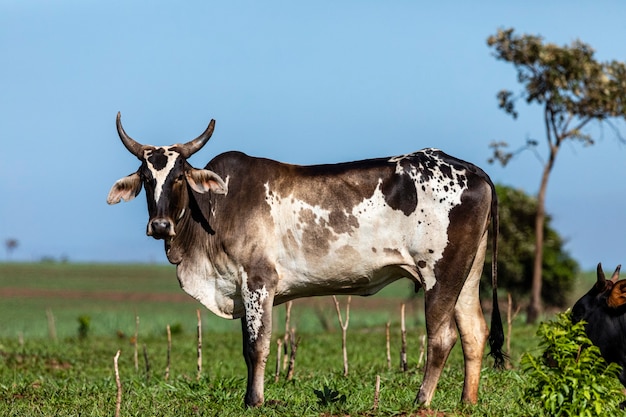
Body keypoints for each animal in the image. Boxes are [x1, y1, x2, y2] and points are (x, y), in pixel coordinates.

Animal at [107, 113, 504, 406]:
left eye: (178, 177)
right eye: (145, 177)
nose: (159, 225)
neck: (212, 212)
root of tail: (474, 172)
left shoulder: (259, 281)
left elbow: (257, 346)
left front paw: (255, 401)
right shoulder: (241, 286)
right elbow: (247, 347)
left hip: (439, 274)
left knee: (441, 337)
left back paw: (421, 401)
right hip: (467, 275)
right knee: (473, 332)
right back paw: (467, 402)